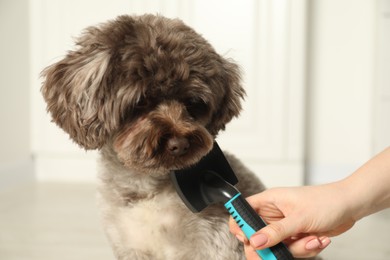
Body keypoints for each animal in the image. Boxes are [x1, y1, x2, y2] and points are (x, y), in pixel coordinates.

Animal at [40, 14, 314, 260]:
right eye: (140, 102)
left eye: (193, 103)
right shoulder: (130, 247)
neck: (149, 190)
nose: (180, 144)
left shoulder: (216, 245)